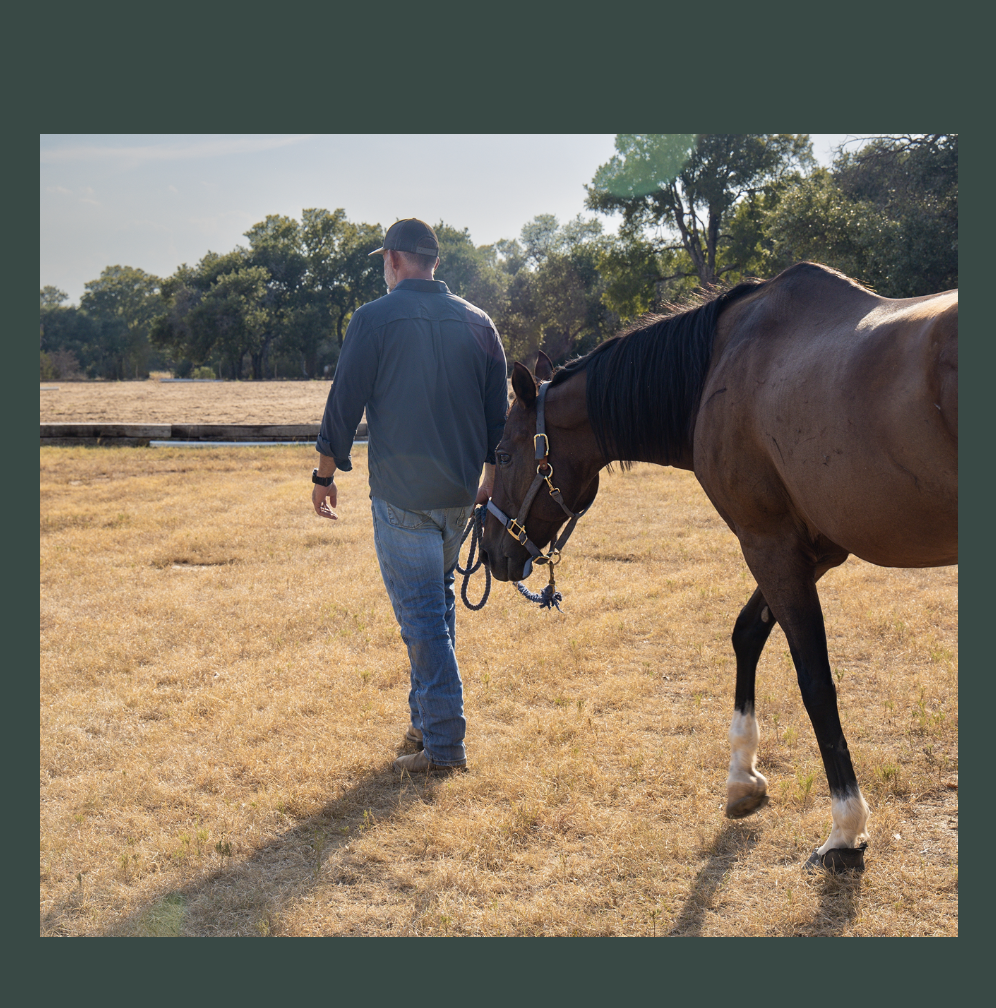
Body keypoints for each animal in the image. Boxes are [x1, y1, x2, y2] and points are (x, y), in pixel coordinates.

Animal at [482, 261, 957, 872]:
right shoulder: (811, 550)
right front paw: (742, 778)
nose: (490, 550)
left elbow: (814, 681)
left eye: (503, 453)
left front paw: (845, 829)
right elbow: (747, 633)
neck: (719, 368)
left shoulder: (768, 544)